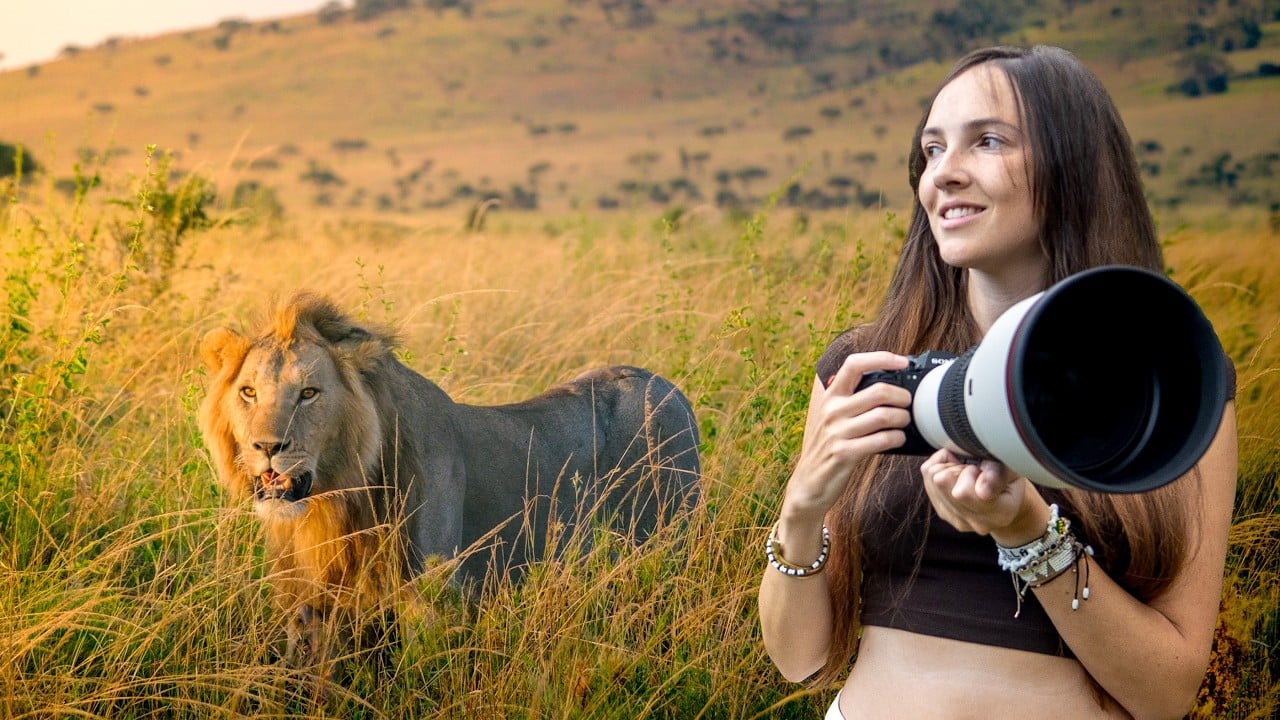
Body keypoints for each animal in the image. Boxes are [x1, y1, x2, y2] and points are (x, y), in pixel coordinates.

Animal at [197, 291, 701, 666]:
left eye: (308, 393)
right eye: (248, 392)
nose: (266, 447)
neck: (335, 499)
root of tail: (669, 386)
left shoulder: (431, 603)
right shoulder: (310, 602)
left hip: (669, 550)